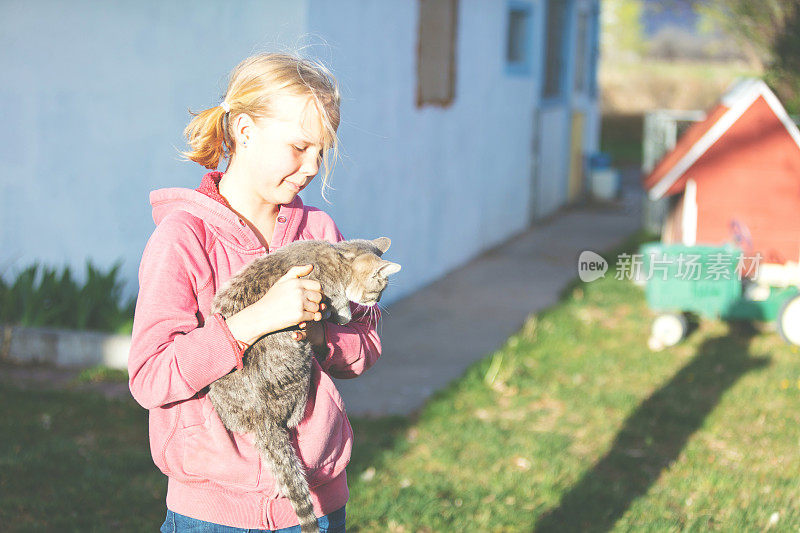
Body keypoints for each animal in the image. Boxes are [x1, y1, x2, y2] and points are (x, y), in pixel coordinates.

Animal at [206, 238, 400, 532]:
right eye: (377, 291)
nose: (377, 302)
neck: (338, 255)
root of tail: (261, 418)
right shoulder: (326, 290)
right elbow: (340, 304)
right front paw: (343, 314)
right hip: (301, 362)